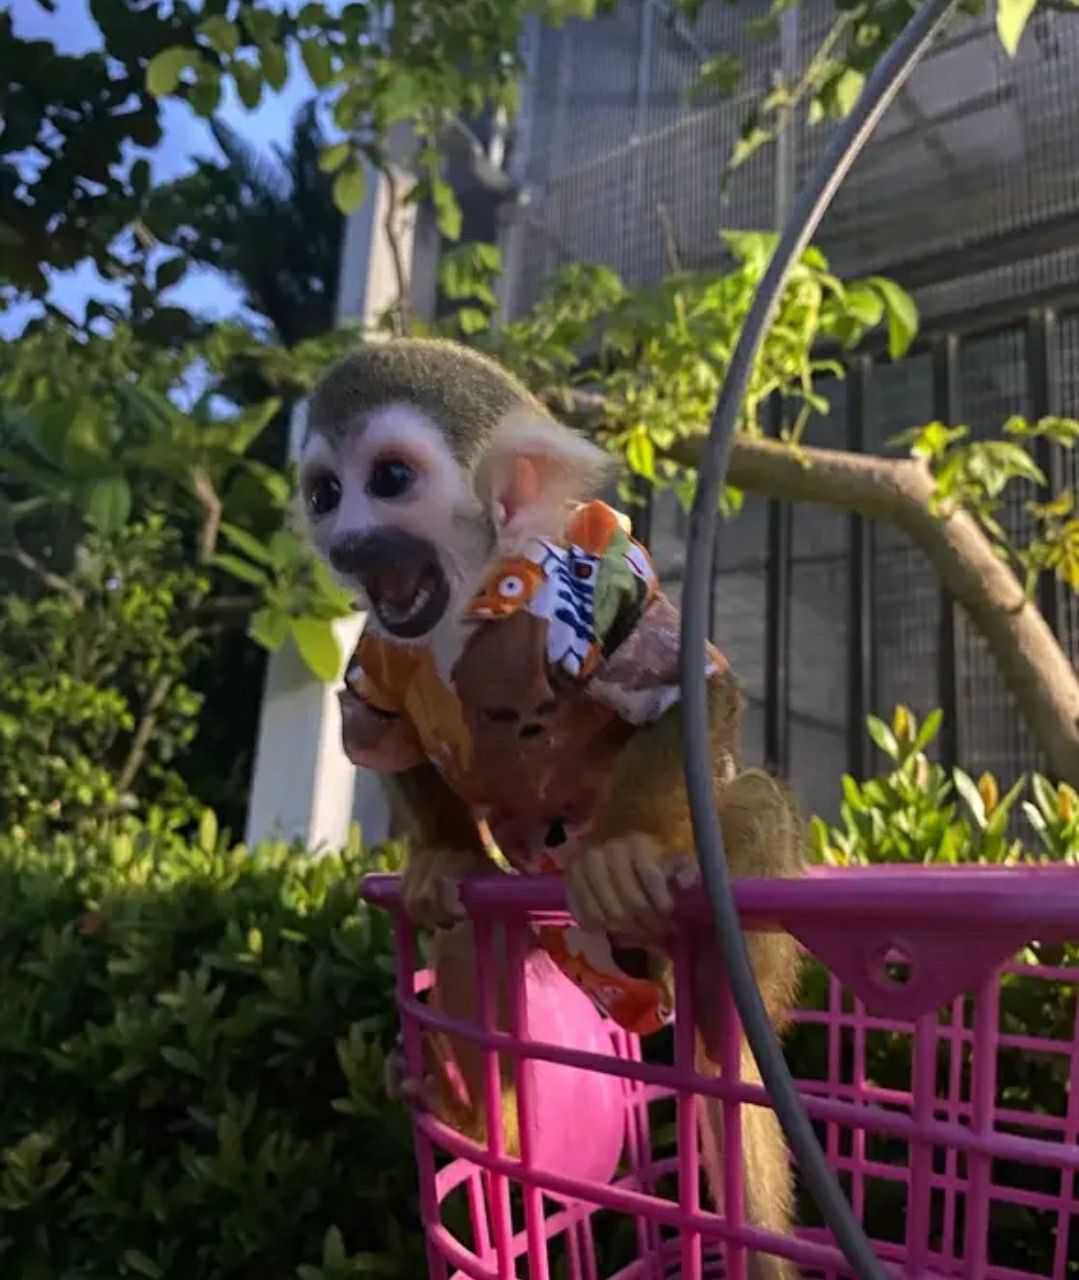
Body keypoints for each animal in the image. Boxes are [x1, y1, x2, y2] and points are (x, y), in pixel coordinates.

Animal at [298, 337, 806, 1280]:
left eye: (388, 478)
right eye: (323, 492)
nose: (348, 539)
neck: (466, 599)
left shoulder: (582, 572)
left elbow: (683, 689)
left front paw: (620, 850)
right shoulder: (385, 645)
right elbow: (388, 737)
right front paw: (446, 855)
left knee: (748, 814)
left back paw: (719, 1025)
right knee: (476, 935)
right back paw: (470, 1109)